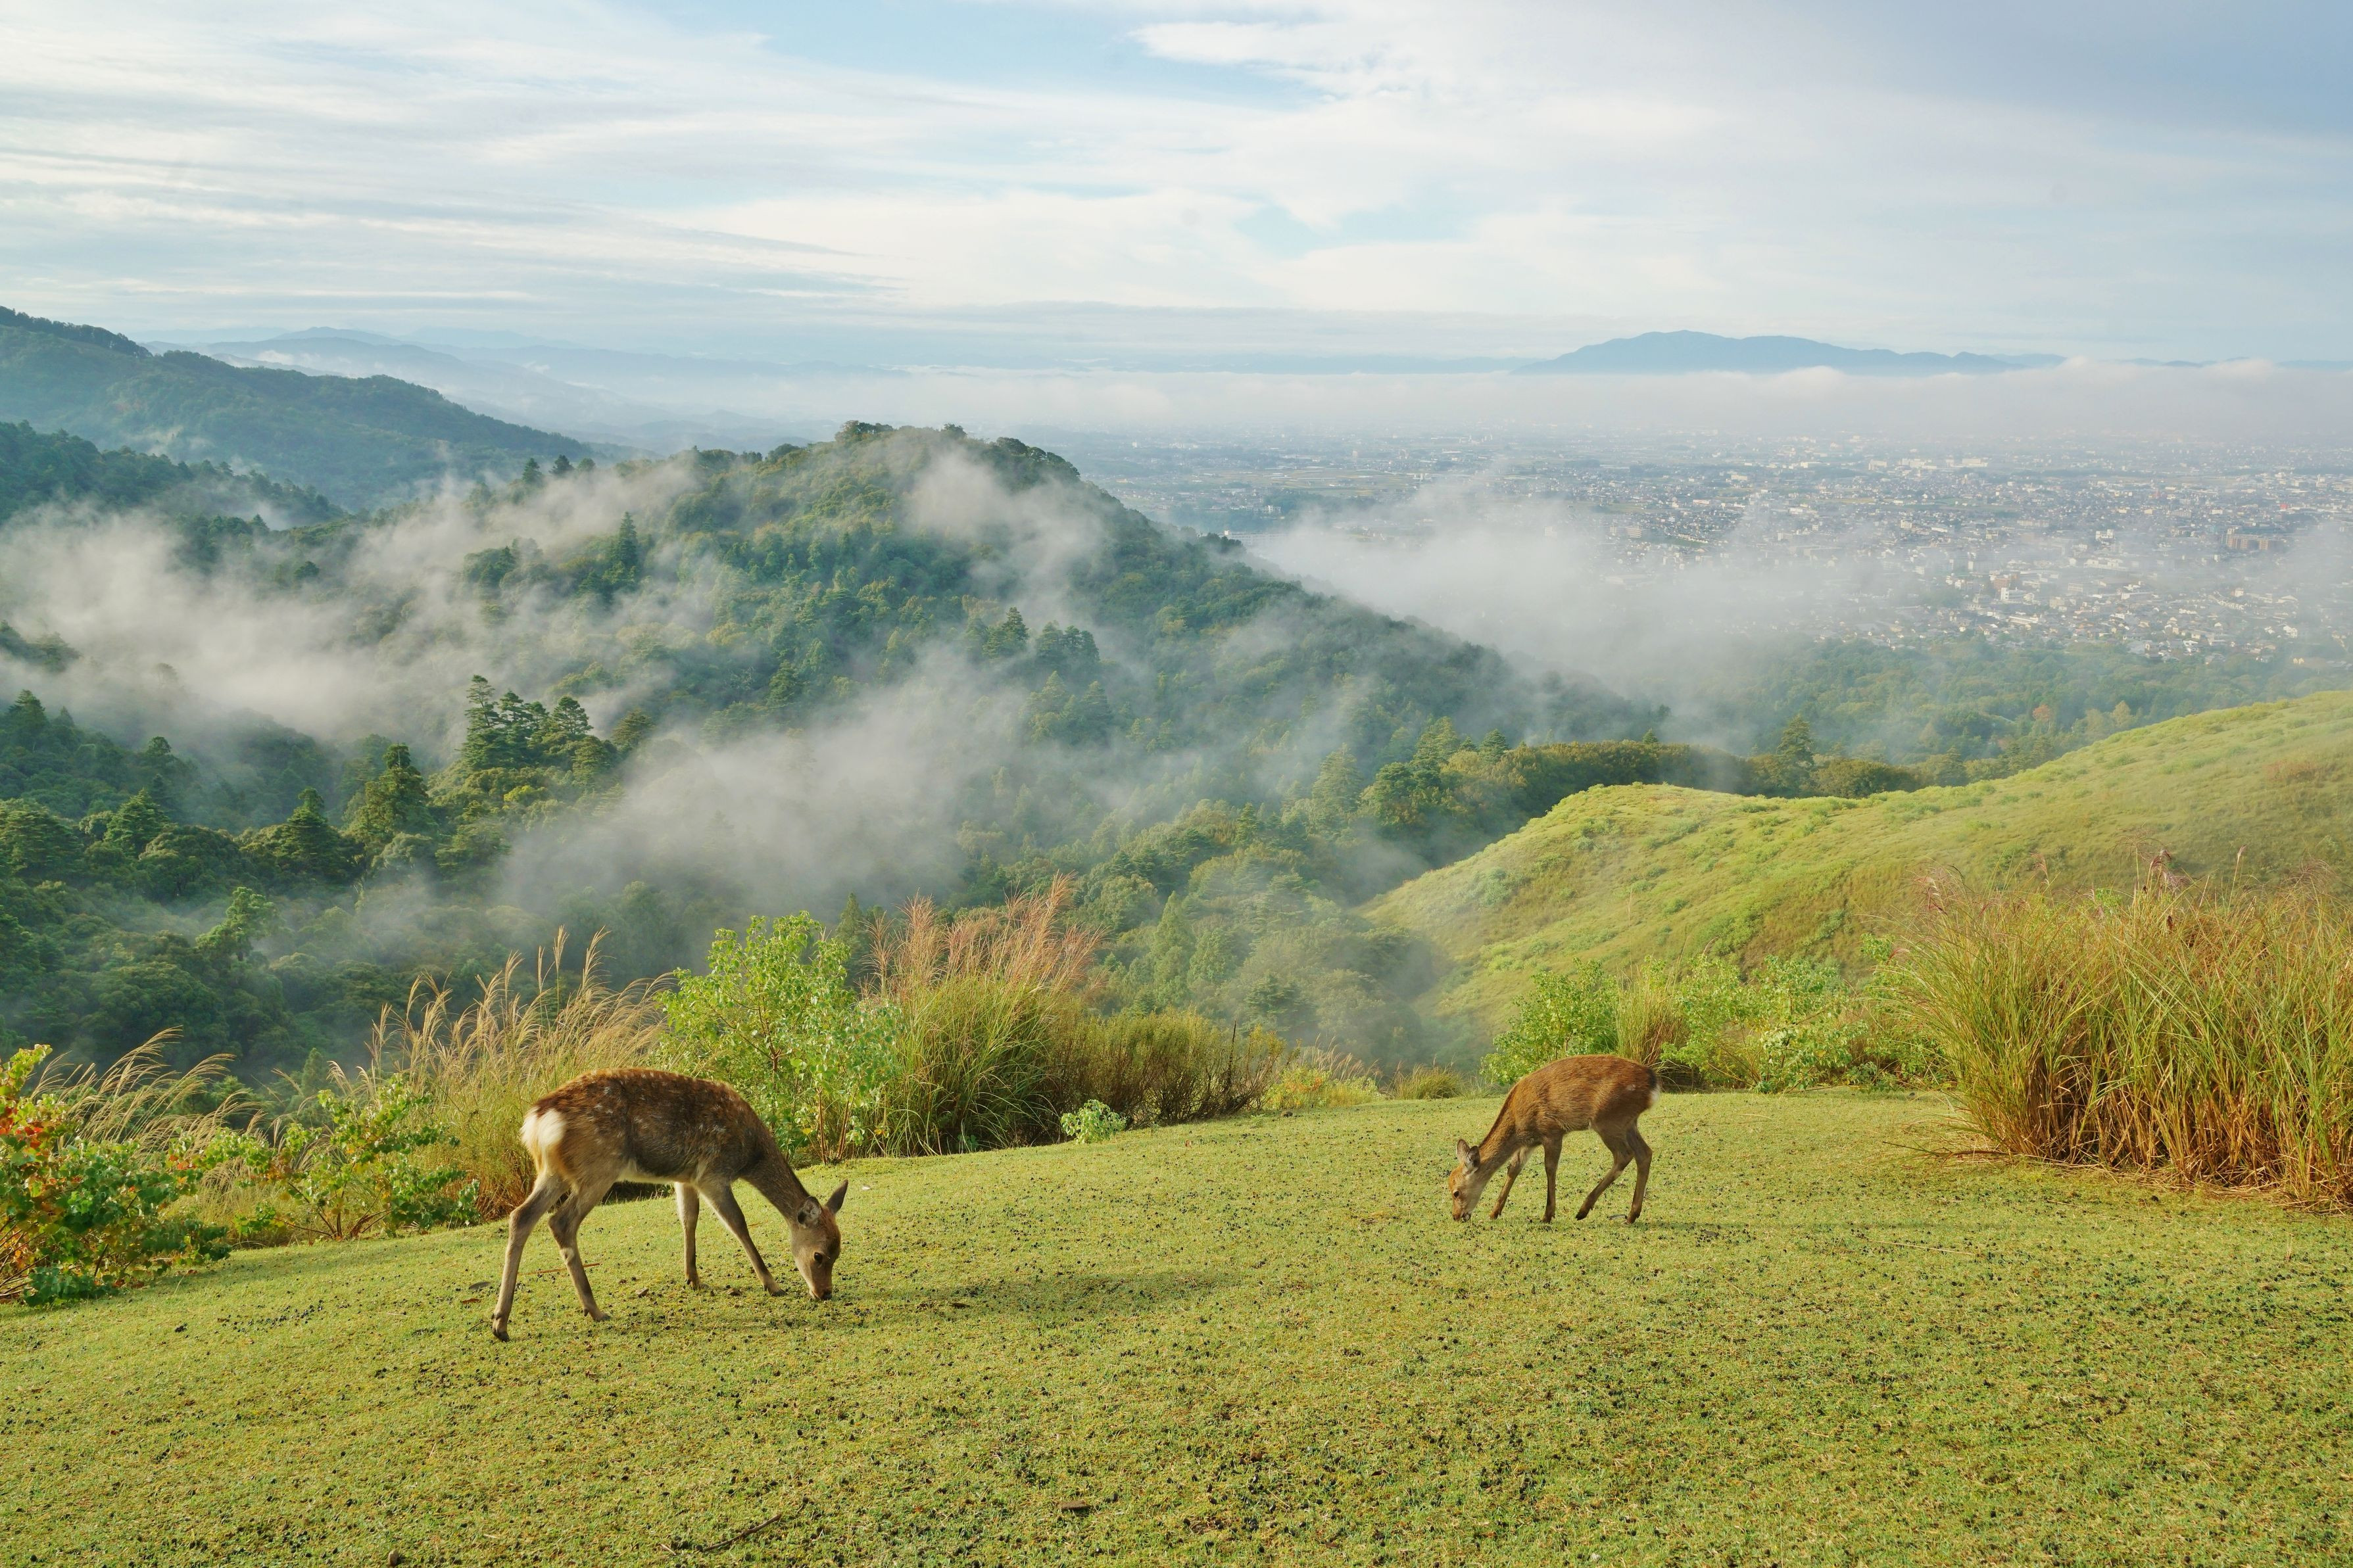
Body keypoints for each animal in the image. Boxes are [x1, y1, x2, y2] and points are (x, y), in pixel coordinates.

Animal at [490, 1067, 847, 1341]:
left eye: (839, 1251)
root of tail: (536, 1122)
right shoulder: (713, 1173)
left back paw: (500, 1323)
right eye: (819, 1255)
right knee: (561, 1221)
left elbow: (689, 1218)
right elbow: (738, 1224)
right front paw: (772, 1284)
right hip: (598, 1167)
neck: (750, 1154)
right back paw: (594, 1309)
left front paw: (693, 1278)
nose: (825, 1293)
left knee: (521, 1216)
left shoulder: (686, 1178)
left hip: (553, 1172)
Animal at [1449, 1054, 1659, 1225]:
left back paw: (1583, 1211)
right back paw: (1631, 1215)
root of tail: (1653, 1084)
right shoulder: (1530, 1142)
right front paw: (1494, 1212)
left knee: (1624, 1155)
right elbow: (1514, 1168)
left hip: (1608, 1120)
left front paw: (1548, 1215)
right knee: (1645, 1153)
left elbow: (1550, 1168)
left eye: (1456, 1192)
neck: (1518, 1125)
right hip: (1628, 1122)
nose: (1456, 1216)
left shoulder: (1552, 1131)